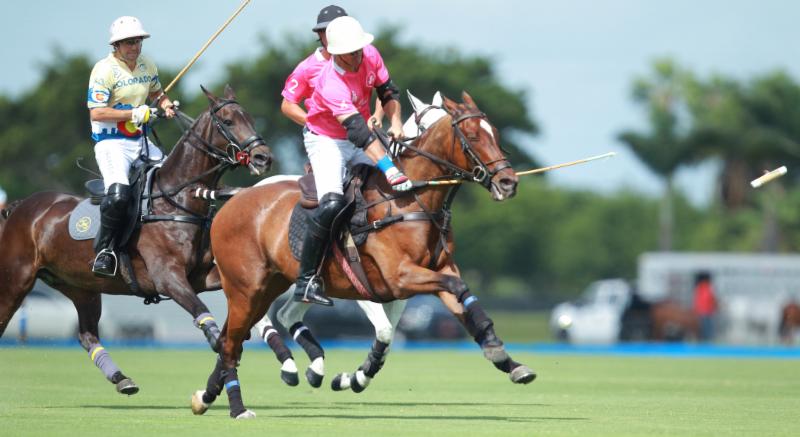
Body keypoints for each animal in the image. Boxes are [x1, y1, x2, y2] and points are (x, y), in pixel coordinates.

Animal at [0, 85, 272, 395]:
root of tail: (19, 207)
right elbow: (202, 312)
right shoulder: (167, 277)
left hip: (81, 286)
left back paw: (122, 379)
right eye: (227, 121)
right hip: (16, 278)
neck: (175, 200)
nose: (264, 158)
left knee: (87, 334)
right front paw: (221, 348)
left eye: (250, 119)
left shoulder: (200, 275)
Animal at [191, 91, 522, 419]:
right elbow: (395, 327)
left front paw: (506, 359)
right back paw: (242, 403)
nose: (508, 182)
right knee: (234, 340)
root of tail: (235, 199)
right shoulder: (392, 279)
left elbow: (456, 303)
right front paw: (353, 378)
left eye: (496, 134)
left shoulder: (426, 277)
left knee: (242, 333)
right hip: (245, 288)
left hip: (272, 284)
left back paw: (208, 395)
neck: (408, 199)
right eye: (473, 135)